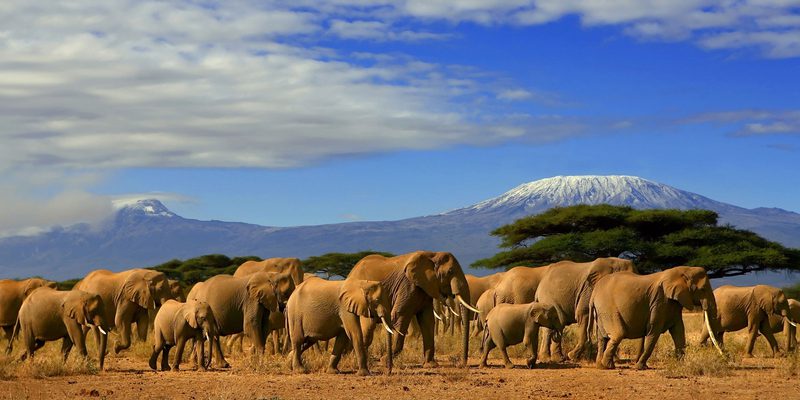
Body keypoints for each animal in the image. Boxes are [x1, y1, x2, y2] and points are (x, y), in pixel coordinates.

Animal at [347, 251, 477, 367]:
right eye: (450, 271)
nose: (462, 364)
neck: (432, 255)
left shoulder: (425, 288)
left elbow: (427, 320)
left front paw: (430, 365)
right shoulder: (408, 286)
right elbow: (400, 316)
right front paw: (384, 361)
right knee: (368, 328)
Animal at [590, 266, 722, 370]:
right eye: (703, 289)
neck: (683, 270)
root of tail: (594, 293)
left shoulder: (673, 303)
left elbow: (678, 330)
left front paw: (681, 365)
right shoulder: (659, 301)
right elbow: (654, 331)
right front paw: (640, 367)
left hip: (601, 312)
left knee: (602, 338)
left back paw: (601, 366)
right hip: (607, 308)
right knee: (618, 334)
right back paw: (607, 366)